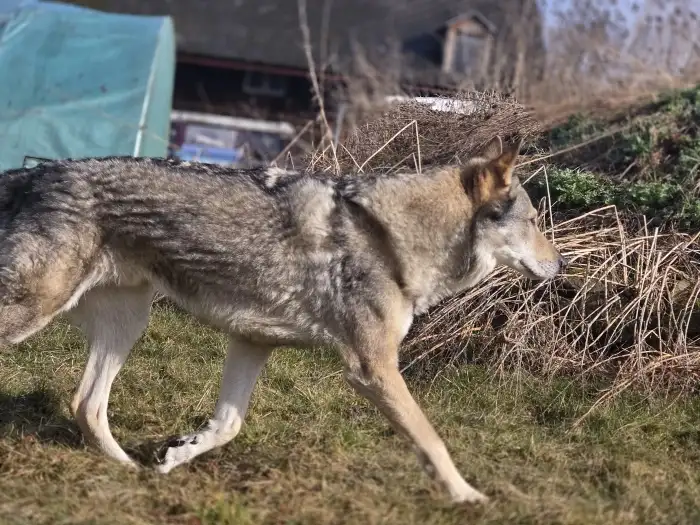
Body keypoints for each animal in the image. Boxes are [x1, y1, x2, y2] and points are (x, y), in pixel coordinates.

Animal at [0, 135, 566, 503]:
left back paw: (127, 470)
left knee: (86, 405)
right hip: (40, 310)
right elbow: (432, 439)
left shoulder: (252, 341)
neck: (391, 237)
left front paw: (177, 456)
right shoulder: (373, 368)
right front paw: (468, 496)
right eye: (534, 223)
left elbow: (228, 425)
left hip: (129, 323)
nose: (562, 265)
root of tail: (36, 171)